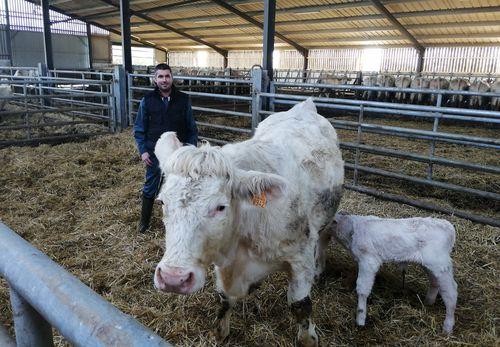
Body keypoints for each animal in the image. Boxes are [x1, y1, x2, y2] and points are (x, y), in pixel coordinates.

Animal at [154, 98, 346, 347]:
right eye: (162, 202)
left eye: (220, 207)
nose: (173, 279)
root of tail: (305, 105)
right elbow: (225, 299)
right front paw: (220, 332)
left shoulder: (300, 257)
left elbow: (300, 306)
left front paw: (309, 339)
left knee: (324, 237)